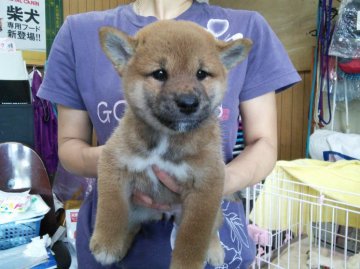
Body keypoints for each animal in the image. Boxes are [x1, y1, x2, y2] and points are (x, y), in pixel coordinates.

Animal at [89, 19, 252, 266]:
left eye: (201, 73)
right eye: (159, 73)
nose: (188, 102)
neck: (167, 139)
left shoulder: (207, 186)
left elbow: (194, 236)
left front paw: (187, 263)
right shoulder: (113, 161)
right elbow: (111, 207)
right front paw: (107, 242)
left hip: (205, 210)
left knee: (213, 229)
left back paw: (214, 250)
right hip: (136, 208)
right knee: (132, 224)